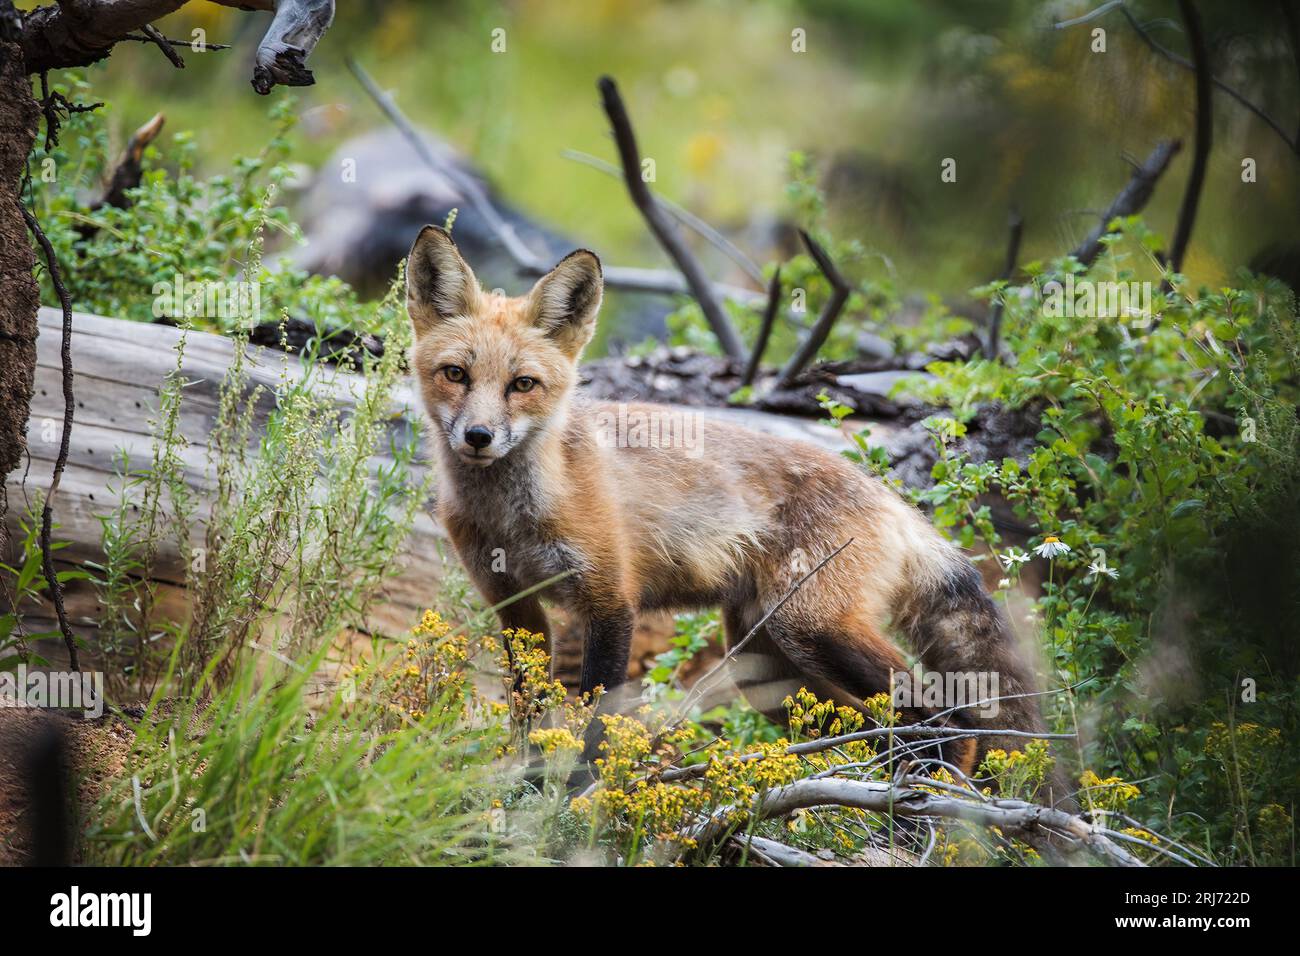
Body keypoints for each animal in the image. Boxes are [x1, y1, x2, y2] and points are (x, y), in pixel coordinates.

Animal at [405, 224, 1056, 792]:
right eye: (456, 374)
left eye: (522, 384)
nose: (479, 437)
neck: (512, 518)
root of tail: (891, 499)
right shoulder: (515, 607)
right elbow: (530, 718)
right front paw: (527, 792)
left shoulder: (611, 601)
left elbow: (595, 725)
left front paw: (574, 803)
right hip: (769, 669)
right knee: (872, 733)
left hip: (815, 630)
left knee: (952, 724)